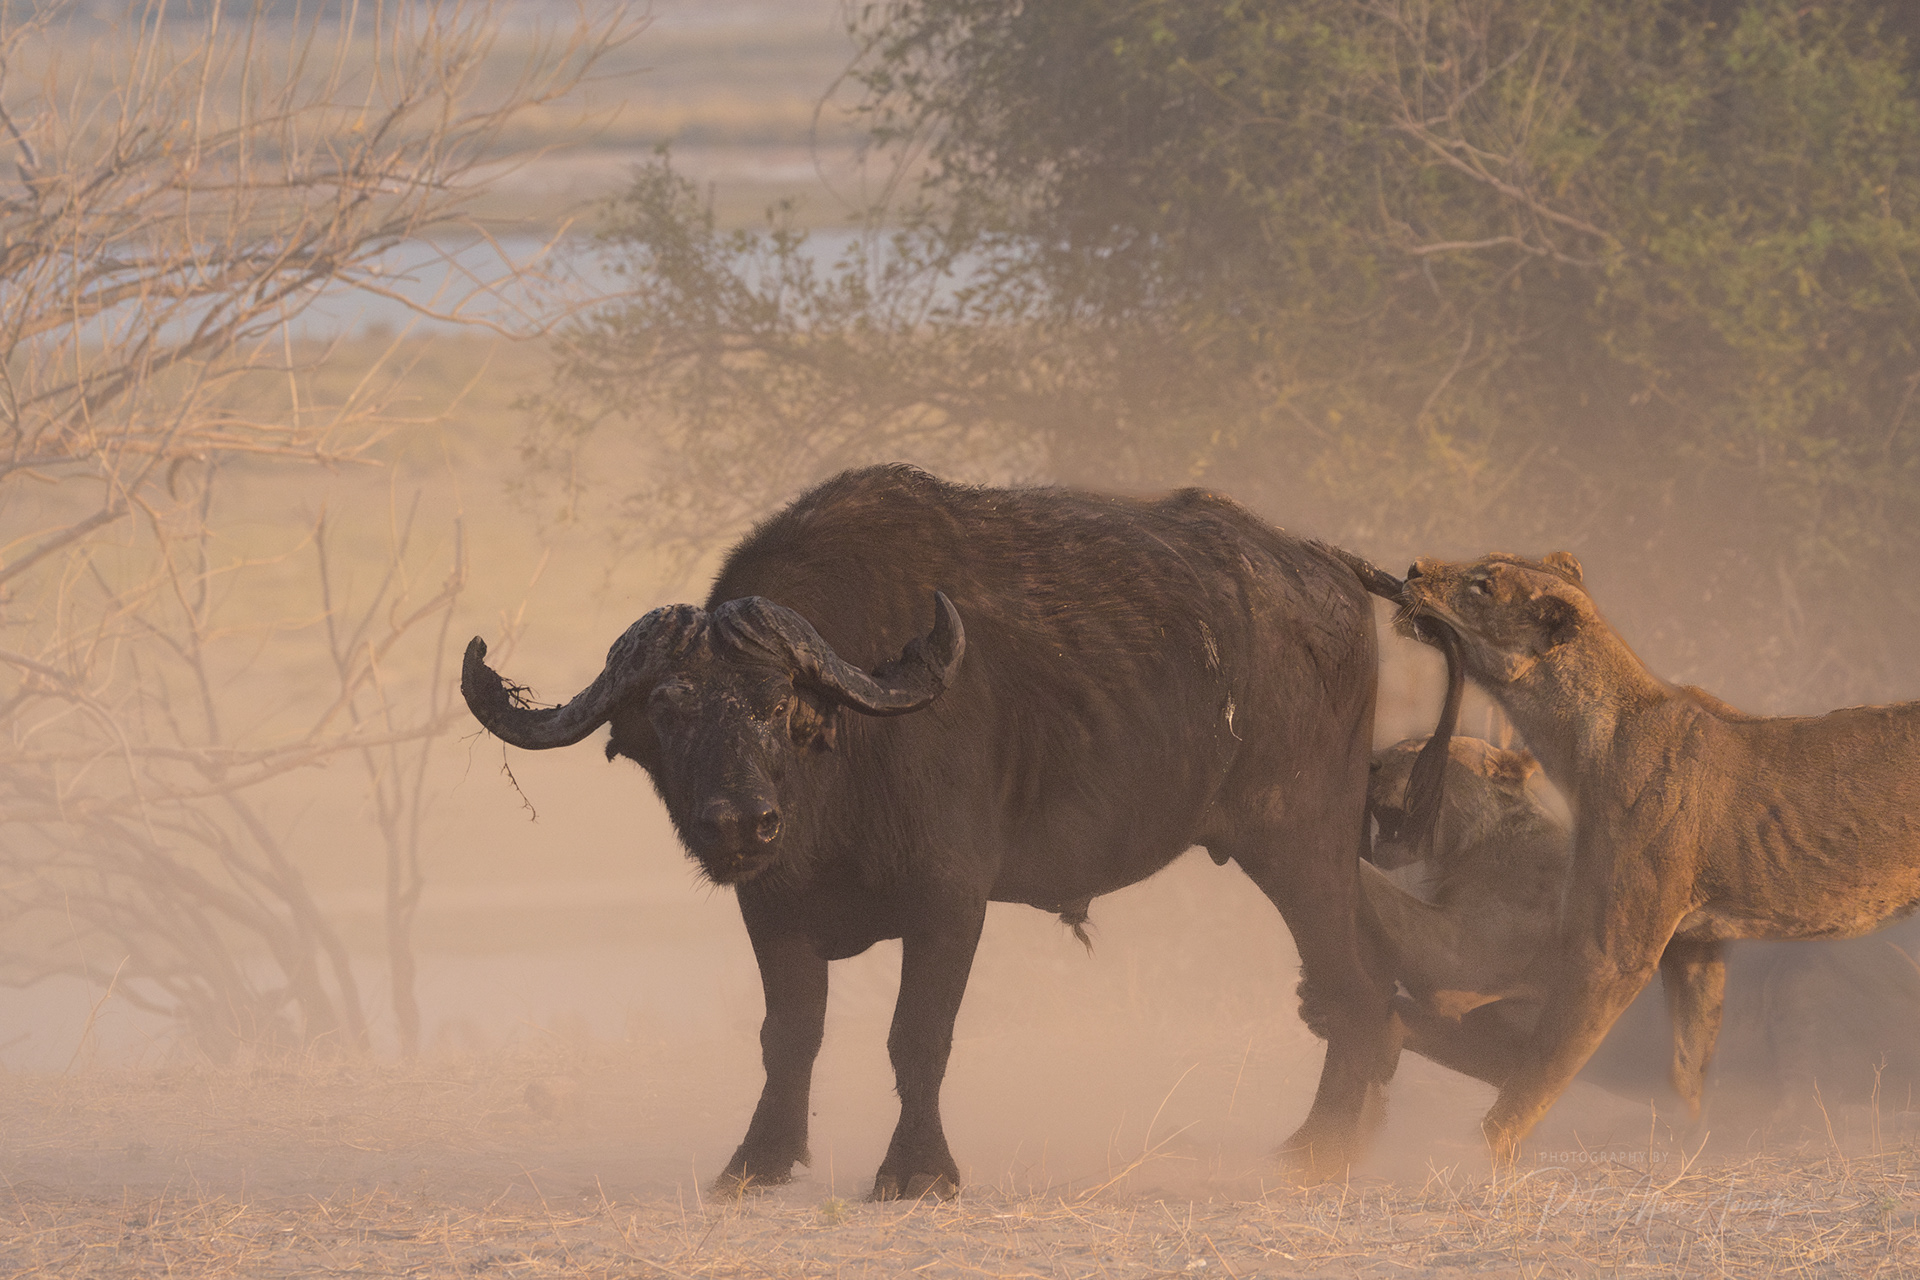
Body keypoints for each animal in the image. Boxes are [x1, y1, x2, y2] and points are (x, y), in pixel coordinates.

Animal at [462, 465, 1406, 1198]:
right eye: (667, 710)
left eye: (777, 705)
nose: (739, 823)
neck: (838, 767)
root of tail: (1327, 569)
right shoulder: (772, 907)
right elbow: (788, 1035)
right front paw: (758, 1160)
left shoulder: (949, 900)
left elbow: (917, 1036)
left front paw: (916, 1170)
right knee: (1374, 983)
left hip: (1299, 840)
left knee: (1351, 990)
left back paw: (1317, 1149)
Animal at [1396, 550, 1920, 1163]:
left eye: (1483, 585)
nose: (1413, 568)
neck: (1578, 739)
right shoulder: (1695, 946)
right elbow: (1691, 1059)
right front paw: (1687, 1140)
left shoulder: (1615, 954)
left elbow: (1544, 1065)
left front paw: (1478, 1154)